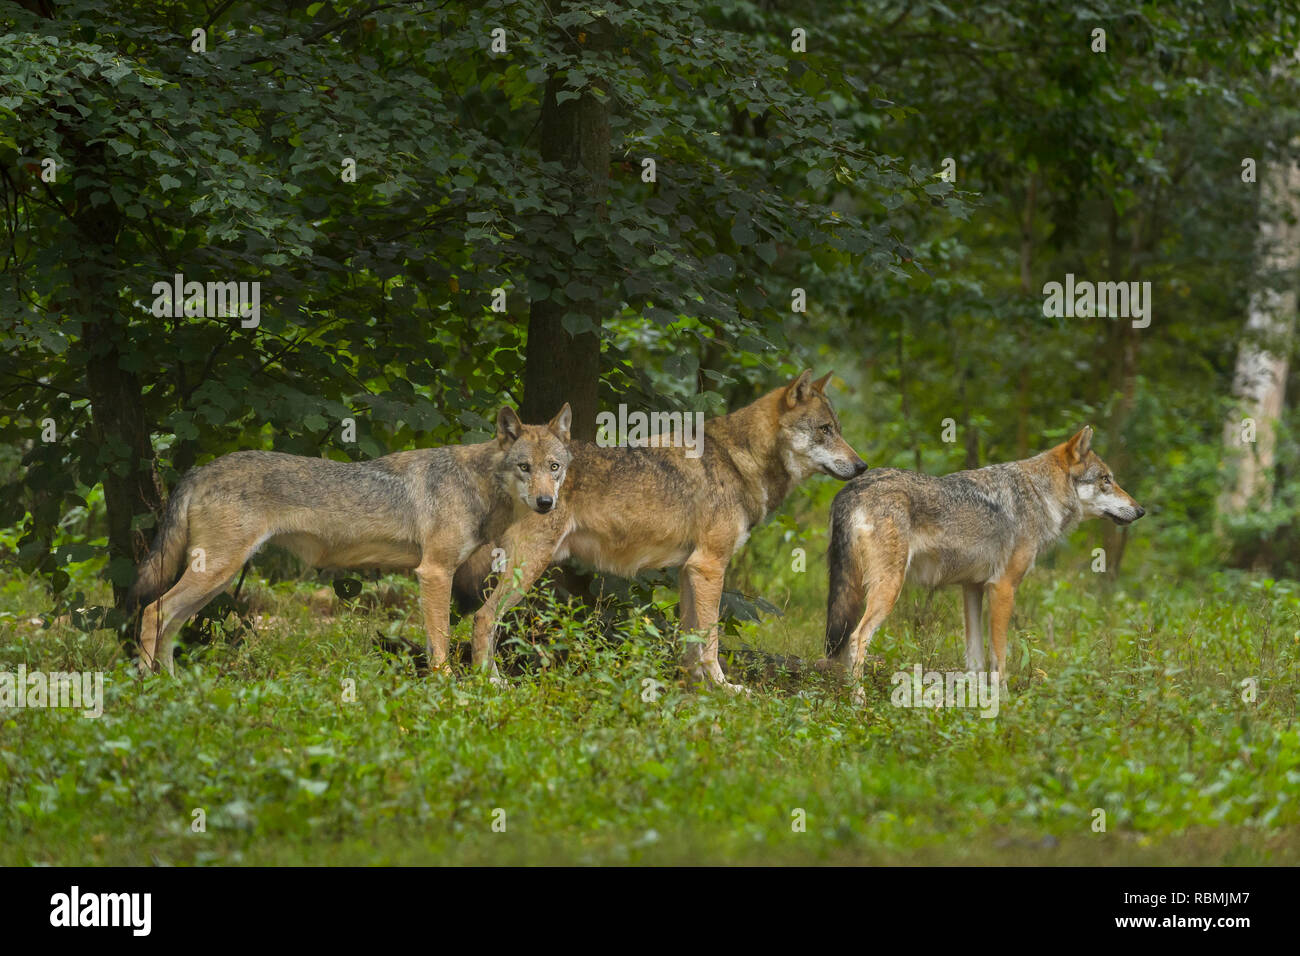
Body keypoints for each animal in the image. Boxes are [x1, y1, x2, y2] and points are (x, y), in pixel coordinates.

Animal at [129, 408, 572, 676]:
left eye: (554, 467)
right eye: (524, 467)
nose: (546, 503)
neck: (477, 484)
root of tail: (199, 470)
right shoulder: (433, 573)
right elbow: (442, 642)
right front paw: (447, 688)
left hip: (217, 579)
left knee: (171, 623)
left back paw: (174, 686)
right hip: (215, 572)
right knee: (152, 611)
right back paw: (148, 686)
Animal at [457, 369, 873, 691]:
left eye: (838, 429)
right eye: (824, 430)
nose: (862, 466)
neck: (739, 461)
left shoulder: (689, 571)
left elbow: (692, 642)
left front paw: (697, 688)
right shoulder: (708, 567)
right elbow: (711, 640)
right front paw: (725, 687)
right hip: (526, 568)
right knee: (483, 618)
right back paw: (489, 682)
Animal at [826, 426, 1144, 686]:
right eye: (1106, 479)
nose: (1140, 510)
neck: (1039, 495)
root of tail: (852, 488)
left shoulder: (972, 587)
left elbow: (976, 659)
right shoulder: (1002, 588)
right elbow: (999, 658)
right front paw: (1004, 703)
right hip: (888, 588)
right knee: (856, 638)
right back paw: (859, 705)